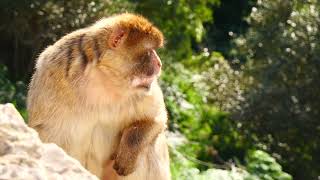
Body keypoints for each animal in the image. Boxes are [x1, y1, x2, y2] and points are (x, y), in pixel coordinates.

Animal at [27, 13, 170, 180]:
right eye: (149, 51)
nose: (159, 64)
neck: (104, 79)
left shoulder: (145, 92)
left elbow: (155, 119)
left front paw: (128, 153)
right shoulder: (53, 72)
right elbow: (48, 135)